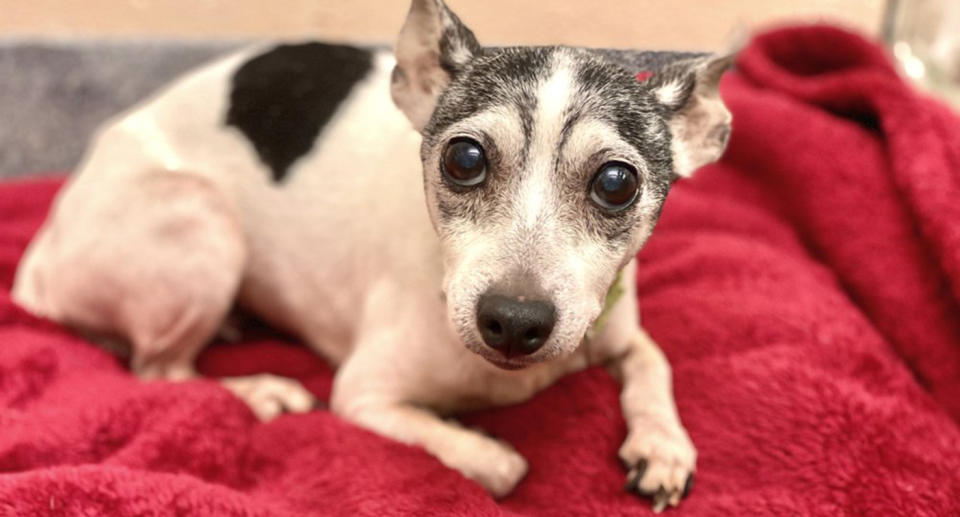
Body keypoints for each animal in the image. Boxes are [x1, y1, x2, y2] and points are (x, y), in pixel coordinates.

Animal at [11, 0, 732, 508]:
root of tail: (37, 265)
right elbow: (501, 466)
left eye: (616, 183)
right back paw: (260, 391)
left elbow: (654, 363)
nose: (514, 321)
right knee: (159, 371)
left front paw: (663, 446)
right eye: (464, 159)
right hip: (204, 225)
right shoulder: (362, 397)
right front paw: (475, 438)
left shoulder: (615, 326)